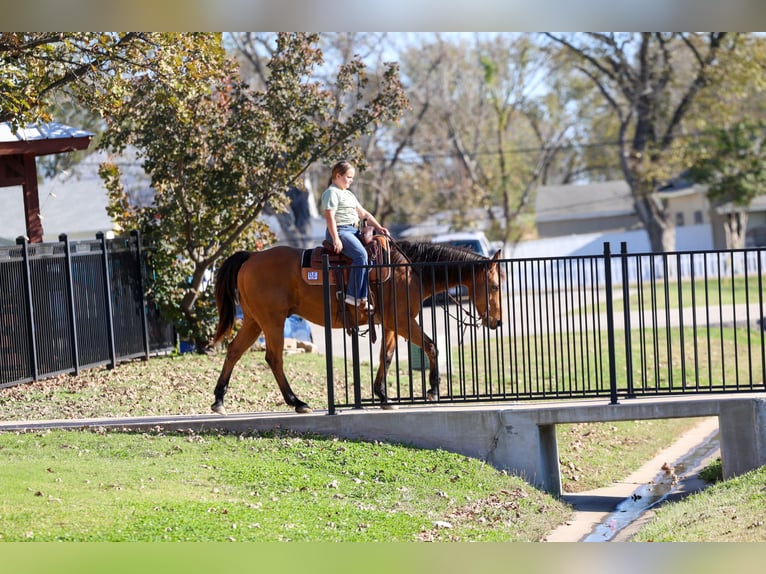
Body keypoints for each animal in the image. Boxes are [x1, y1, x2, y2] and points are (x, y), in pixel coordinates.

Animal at [210, 239, 504, 414]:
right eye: (494, 286)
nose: (498, 321)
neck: (409, 271)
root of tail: (251, 257)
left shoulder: (391, 324)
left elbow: (386, 356)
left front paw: (383, 396)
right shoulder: (403, 321)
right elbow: (431, 346)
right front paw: (432, 390)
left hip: (254, 321)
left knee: (234, 351)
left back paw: (219, 400)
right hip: (272, 321)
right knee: (274, 358)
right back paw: (298, 402)